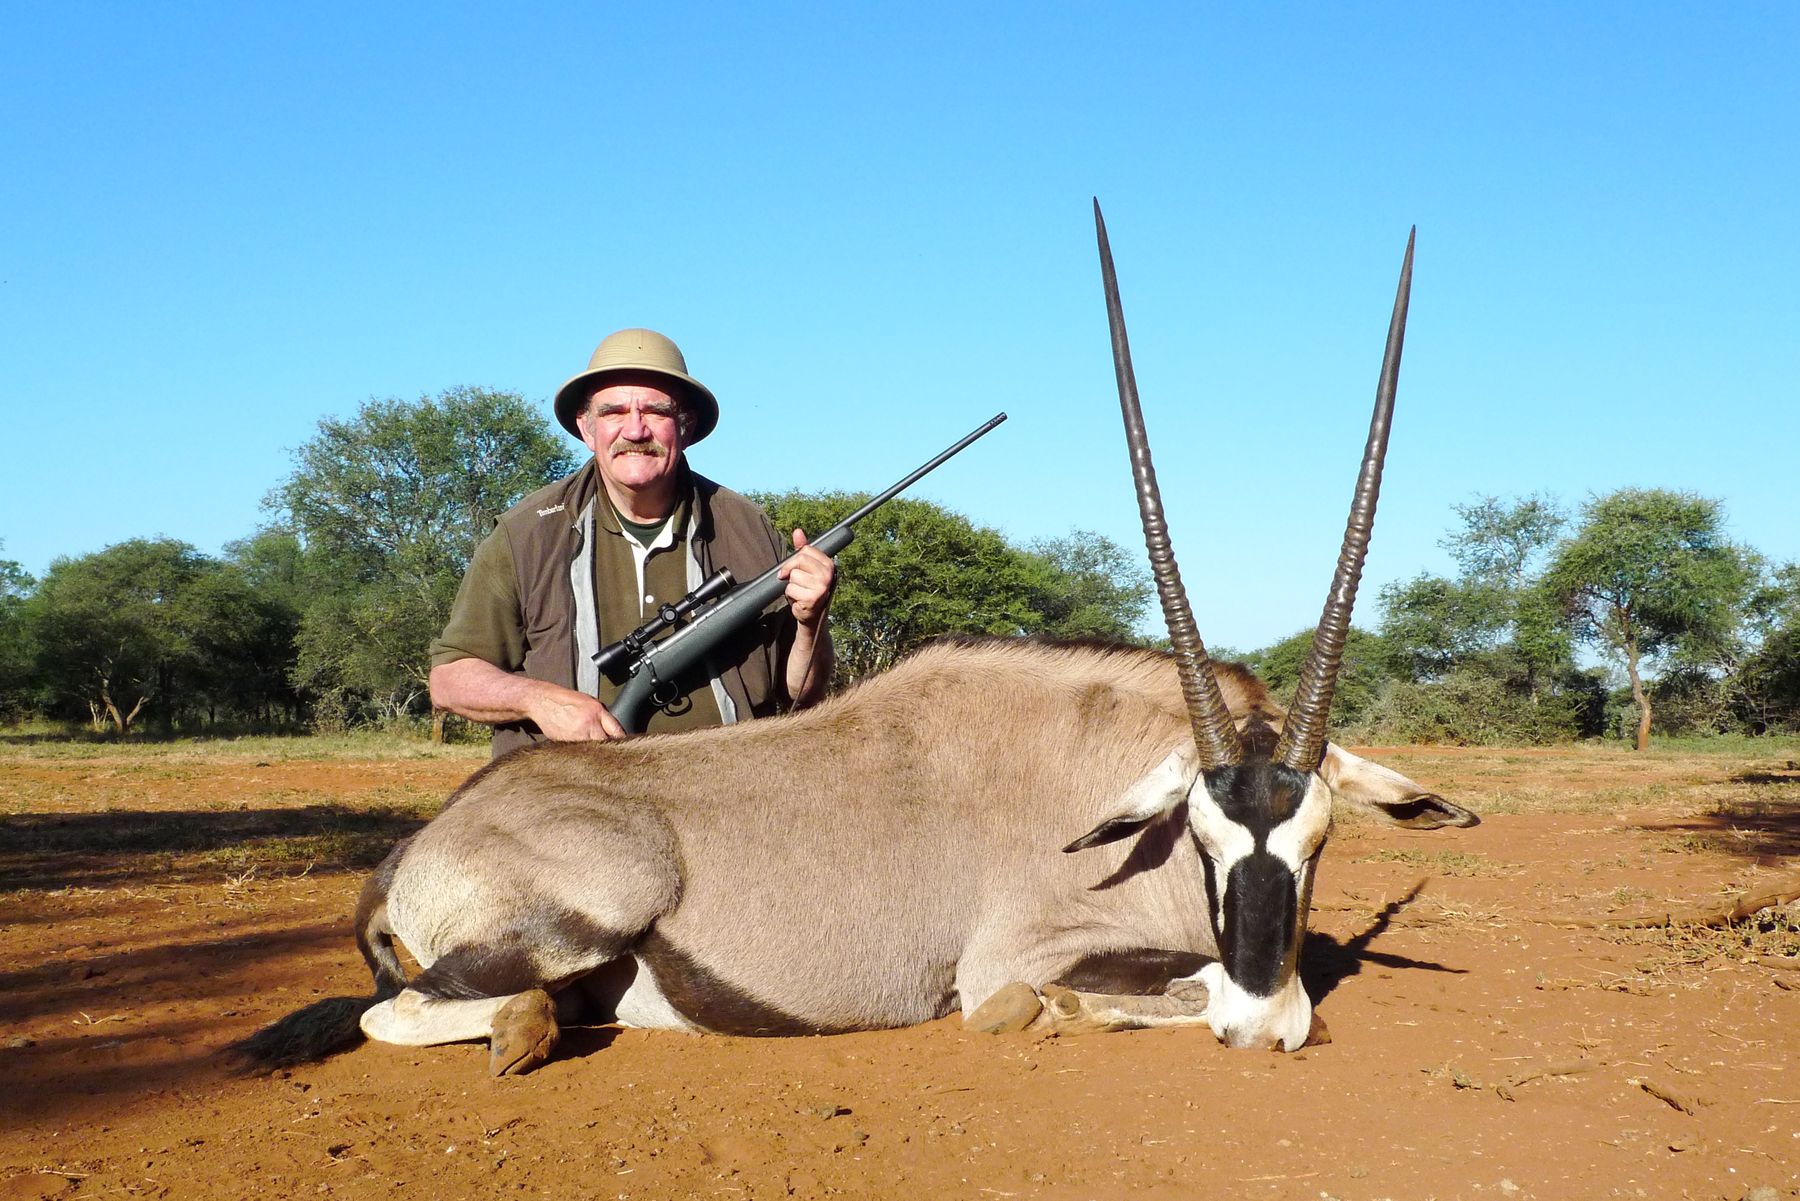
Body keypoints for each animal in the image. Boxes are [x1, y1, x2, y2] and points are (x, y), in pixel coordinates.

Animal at [229, 207, 1474, 1078]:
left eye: (1319, 843)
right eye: (1209, 842)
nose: (1266, 1031)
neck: (1096, 782)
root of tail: (421, 844)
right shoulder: (1010, 954)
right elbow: (1128, 991)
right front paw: (1075, 1012)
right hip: (583, 911)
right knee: (403, 1009)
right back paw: (522, 1032)